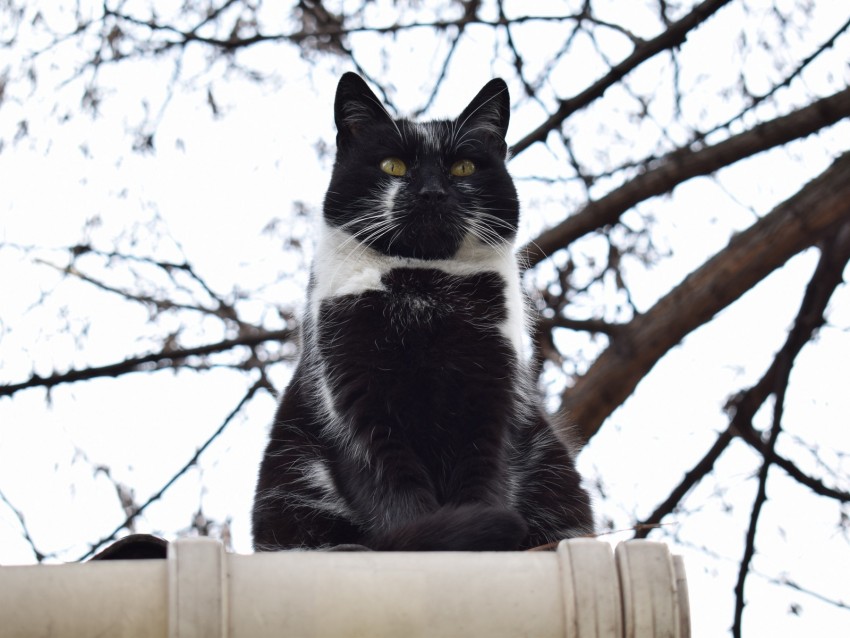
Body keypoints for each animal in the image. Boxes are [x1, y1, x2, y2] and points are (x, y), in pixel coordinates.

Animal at [252, 74, 588, 556]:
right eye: (393, 166)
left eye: (463, 168)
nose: (432, 192)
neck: (422, 286)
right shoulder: (355, 399)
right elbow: (395, 492)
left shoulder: (492, 396)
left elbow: (483, 476)